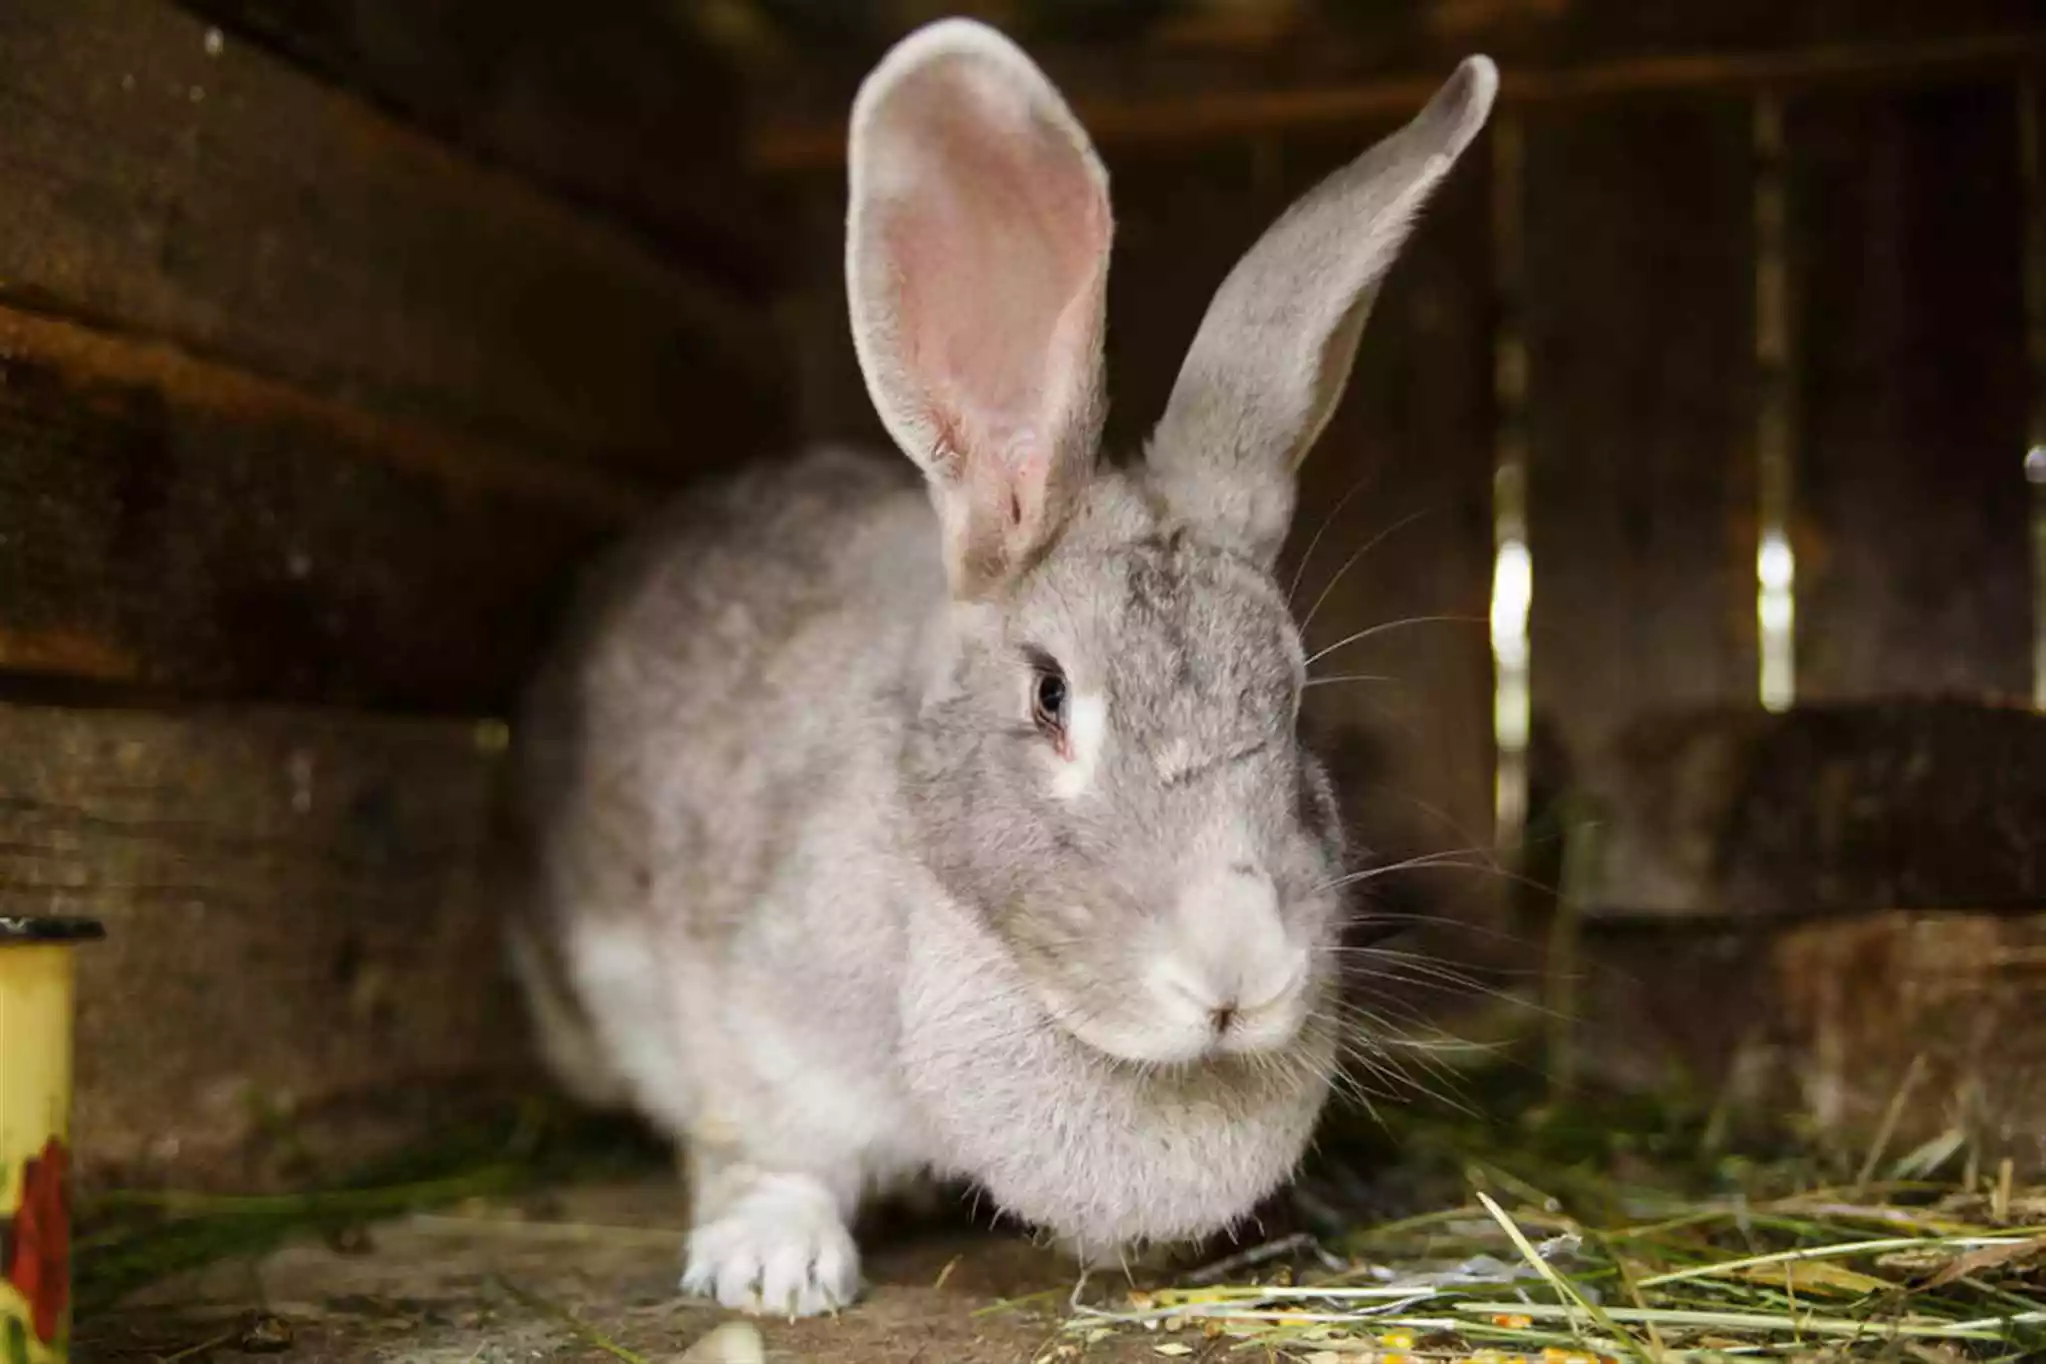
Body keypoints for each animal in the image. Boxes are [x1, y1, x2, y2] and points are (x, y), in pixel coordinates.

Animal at [511, 15, 1497, 1316]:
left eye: (1295, 700)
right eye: (1050, 695)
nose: (1237, 974)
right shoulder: (737, 1019)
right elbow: (756, 1148)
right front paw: (773, 1268)